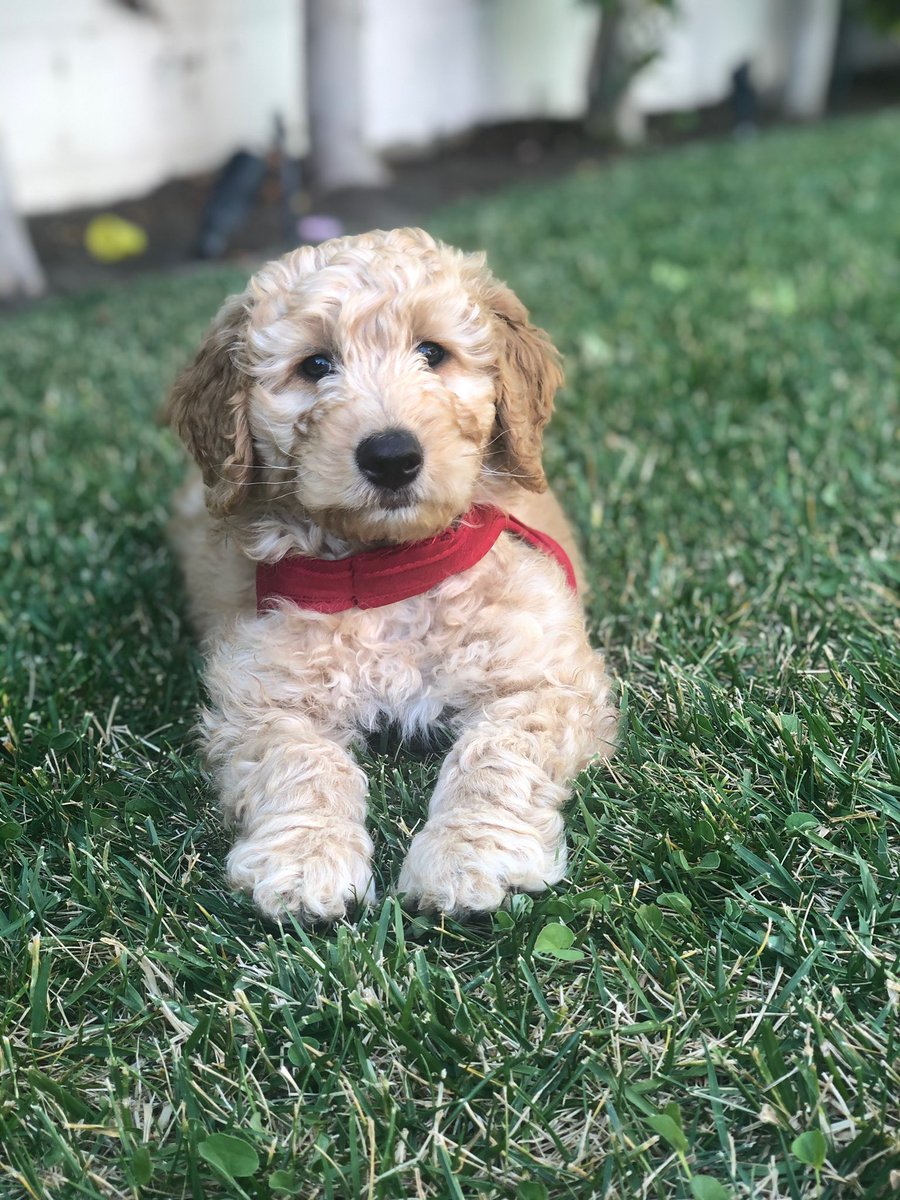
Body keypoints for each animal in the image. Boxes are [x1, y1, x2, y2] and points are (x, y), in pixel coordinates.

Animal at [166, 227, 617, 921]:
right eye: (315, 366)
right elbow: (298, 758)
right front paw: (306, 859)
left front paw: (468, 855)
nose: (391, 456)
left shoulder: (546, 678)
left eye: (433, 352)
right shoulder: (260, 692)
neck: (387, 569)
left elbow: (497, 751)